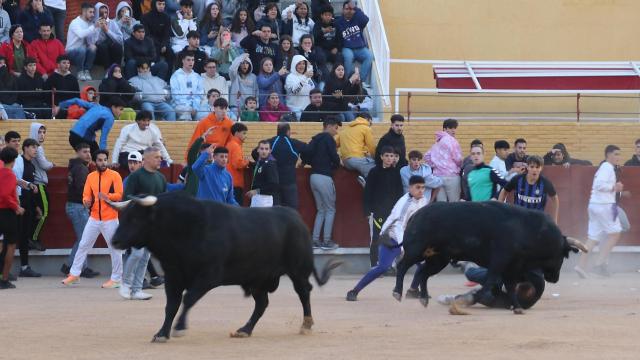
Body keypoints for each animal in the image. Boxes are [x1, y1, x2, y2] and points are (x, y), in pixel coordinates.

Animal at [106, 193, 340, 342]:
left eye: (135, 218)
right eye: (123, 217)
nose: (114, 241)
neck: (185, 228)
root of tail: (298, 219)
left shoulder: (208, 275)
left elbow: (188, 299)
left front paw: (179, 328)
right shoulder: (173, 276)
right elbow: (171, 305)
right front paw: (162, 333)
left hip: (298, 271)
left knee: (304, 292)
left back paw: (306, 325)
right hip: (257, 279)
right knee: (262, 303)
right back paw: (244, 330)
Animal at [390, 201, 584, 310]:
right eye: (563, 255)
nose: (554, 278)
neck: (529, 230)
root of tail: (415, 214)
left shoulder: (512, 268)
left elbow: (510, 286)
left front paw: (517, 307)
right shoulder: (499, 262)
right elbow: (489, 285)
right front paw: (466, 301)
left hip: (439, 259)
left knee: (423, 273)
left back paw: (423, 298)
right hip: (416, 250)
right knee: (402, 266)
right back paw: (398, 293)